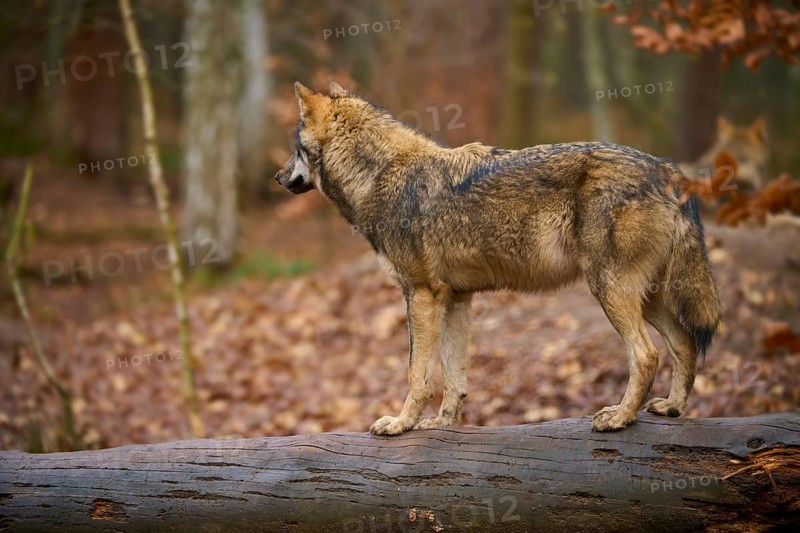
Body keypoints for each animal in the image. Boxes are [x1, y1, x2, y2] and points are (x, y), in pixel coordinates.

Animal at [276, 82, 721, 434]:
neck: (381, 176)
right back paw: (672, 407)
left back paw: (620, 418)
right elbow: (454, 375)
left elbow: (417, 373)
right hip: (647, 296)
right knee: (684, 343)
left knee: (646, 356)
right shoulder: (455, 298)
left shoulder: (420, 295)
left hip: (611, 290)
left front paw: (402, 424)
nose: (278, 178)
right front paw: (442, 424)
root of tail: (666, 169)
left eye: (294, 149)